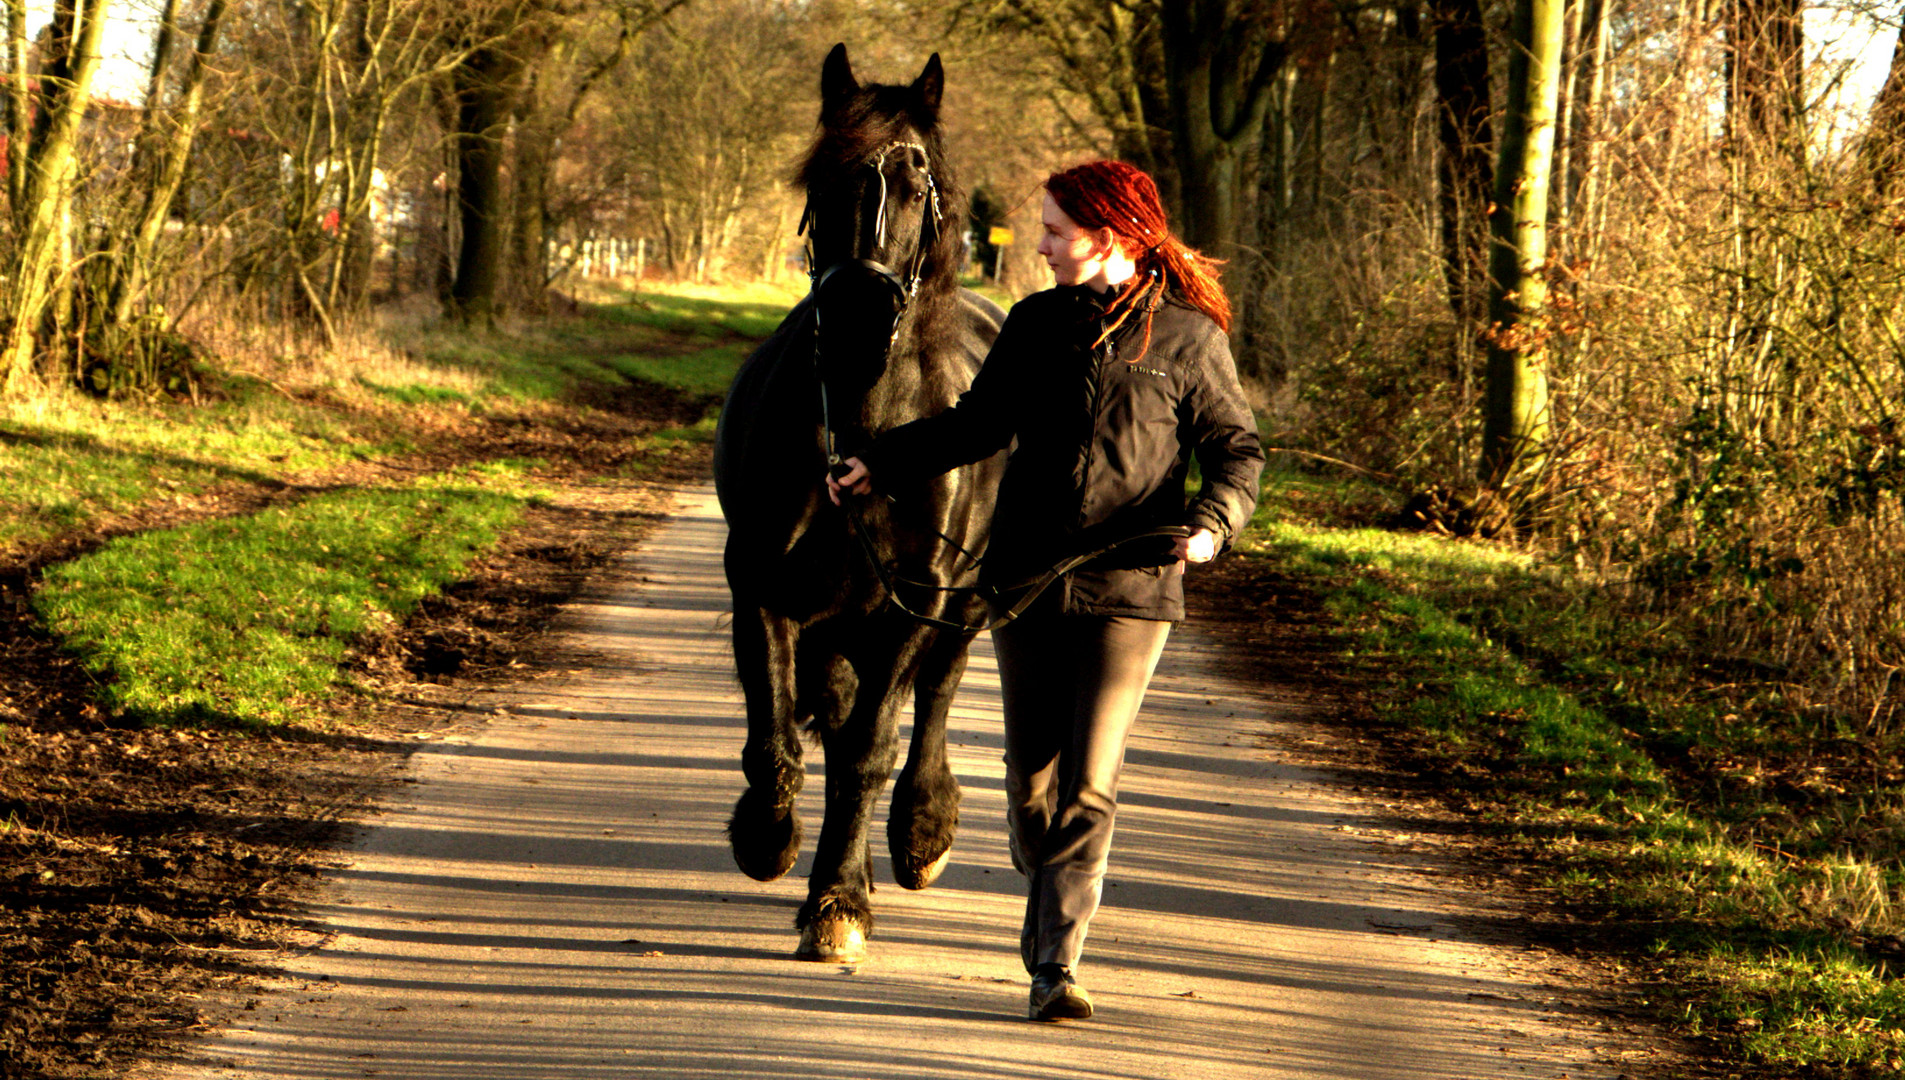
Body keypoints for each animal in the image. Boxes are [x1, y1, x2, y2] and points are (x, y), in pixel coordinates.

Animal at [716, 48, 1013, 963]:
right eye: (824, 178)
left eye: (919, 189)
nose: (855, 317)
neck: (863, 422)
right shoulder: (765, 590)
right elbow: (776, 738)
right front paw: (766, 839)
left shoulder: (916, 603)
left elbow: (869, 750)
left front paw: (839, 901)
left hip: (962, 608)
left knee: (933, 702)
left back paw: (922, 833)